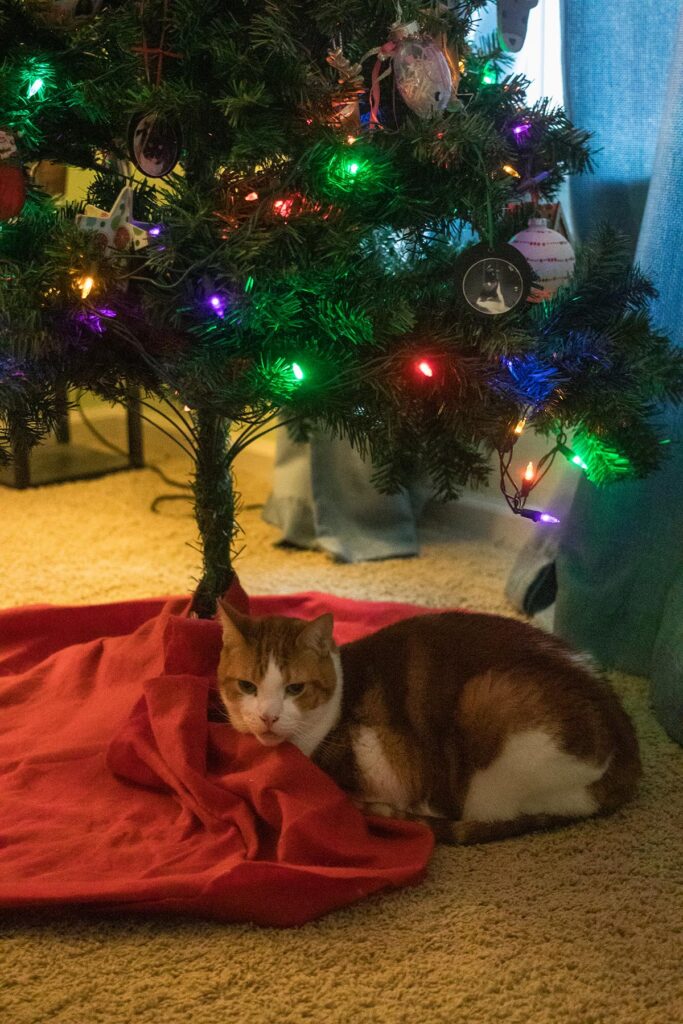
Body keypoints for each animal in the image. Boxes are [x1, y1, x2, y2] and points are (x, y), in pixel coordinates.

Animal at [215, 602, 643, 843]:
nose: (268, 717)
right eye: (247, 686)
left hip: (489, 710)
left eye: (295, 689)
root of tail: (629, 757)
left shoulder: (378, 760)